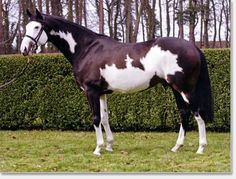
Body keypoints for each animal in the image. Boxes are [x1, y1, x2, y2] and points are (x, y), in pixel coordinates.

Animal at [20, 9, 213, 156]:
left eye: (37, 26)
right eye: (26, 26)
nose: (24, 49)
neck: (86, 49)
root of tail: (193, 46)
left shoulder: (91, 91)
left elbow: (96, 118)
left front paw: (98, 149)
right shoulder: (101, 93)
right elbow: (105, 118)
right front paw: (109, 145)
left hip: (185, 89)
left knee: (198, 114)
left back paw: (201, 148)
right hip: (175, 89)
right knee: (184, 114)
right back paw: (176, 147)